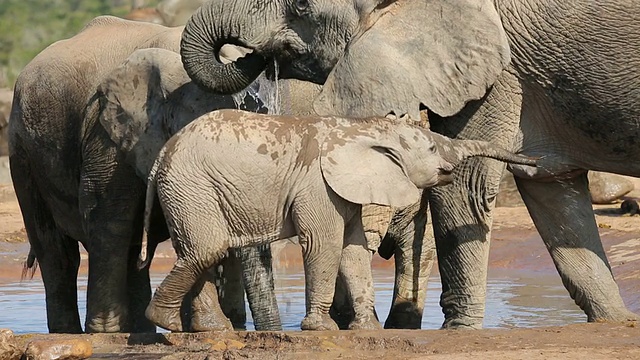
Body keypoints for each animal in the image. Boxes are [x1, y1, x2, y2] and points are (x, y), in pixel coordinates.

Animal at [139, 109, 536, 332]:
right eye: (433, 148)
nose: (533, 163)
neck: (363, 128)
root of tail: (161, 155)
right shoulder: (318, 185)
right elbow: (324, 244)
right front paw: (323, 328)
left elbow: (353, 251)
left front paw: (368, 330)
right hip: (191, 186)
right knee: (207, 249)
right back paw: (165, 322)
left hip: (189, 192)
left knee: (201, 251)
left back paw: (208, 330)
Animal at [179, 0, 640, 328]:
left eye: (303, 7)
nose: (252, 58)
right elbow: (554, 193)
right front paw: (614, 323)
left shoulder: (494, 71)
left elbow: (465, 188)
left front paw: (457, 332)